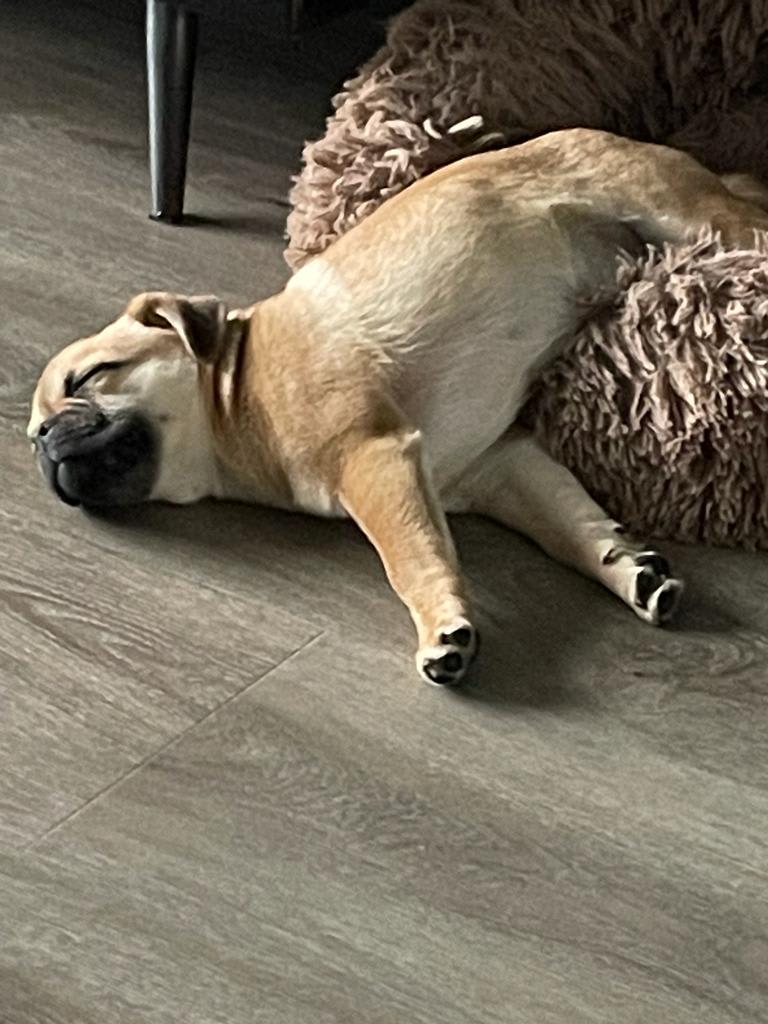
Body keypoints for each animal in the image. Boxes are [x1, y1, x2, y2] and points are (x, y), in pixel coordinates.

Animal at [27, 128, 768, 686]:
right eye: (33, 434)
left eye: (91, 376)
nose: (46, 443)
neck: (234, 396)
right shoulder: (506, 471)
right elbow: (574, 529)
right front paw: (628, 571)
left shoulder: (375, 460)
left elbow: (411, 558)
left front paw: (444, 628)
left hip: (690, 215)